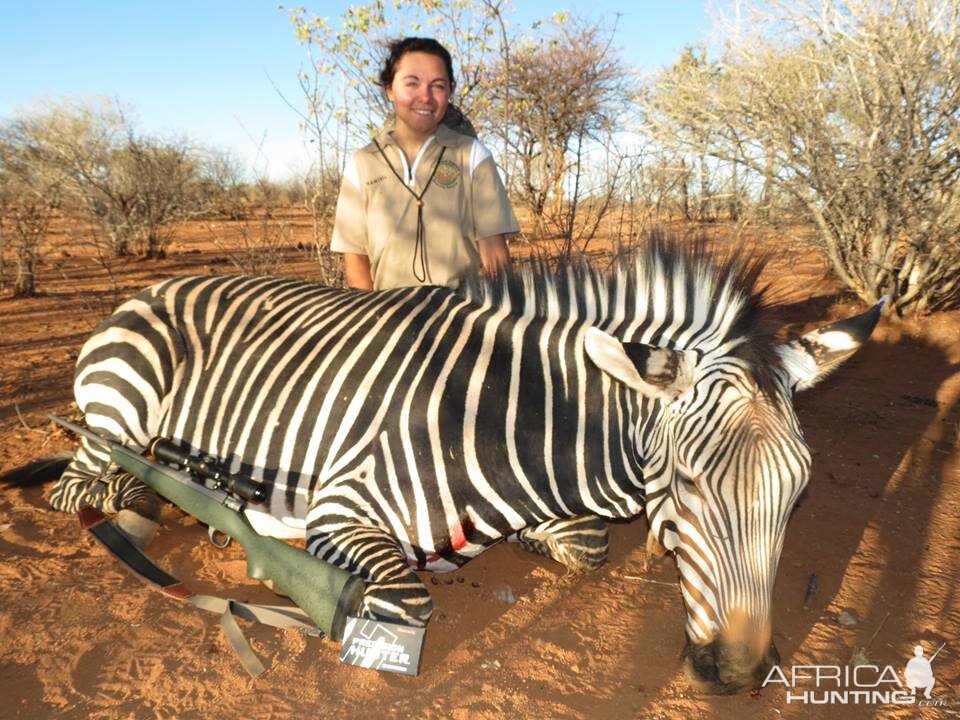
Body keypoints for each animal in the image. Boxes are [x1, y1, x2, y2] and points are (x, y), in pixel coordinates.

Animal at [33, 240, 880, 692]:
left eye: (798, 494)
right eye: (689, 485)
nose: (739, 673)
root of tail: (155, 284)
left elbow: (584, 544)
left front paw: (534, 538)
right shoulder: (345, 503)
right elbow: (403, 596)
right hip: (122, 405)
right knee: (83, 485)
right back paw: (156, 502)